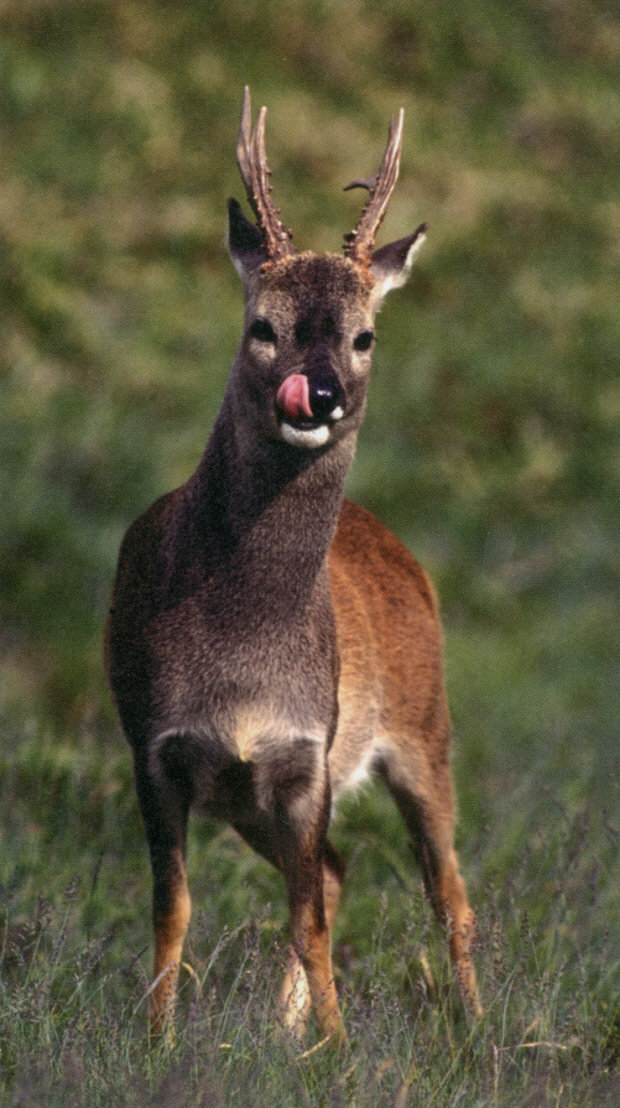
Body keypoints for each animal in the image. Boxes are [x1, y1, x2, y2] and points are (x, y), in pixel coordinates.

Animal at [106, 88, 482, 1045]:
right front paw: (158, 1042)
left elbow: (309, 915)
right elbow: (173, 907)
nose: (320, 394)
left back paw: (474, 1031)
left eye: (366, 335)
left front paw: (341, 1049)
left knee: (446, 890)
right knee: (343, 870)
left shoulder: (307, 754)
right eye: (262, 328)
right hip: (252, 800)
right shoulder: (155, 748)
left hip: (425, 729)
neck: (243, 663)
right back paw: (286, 1029)